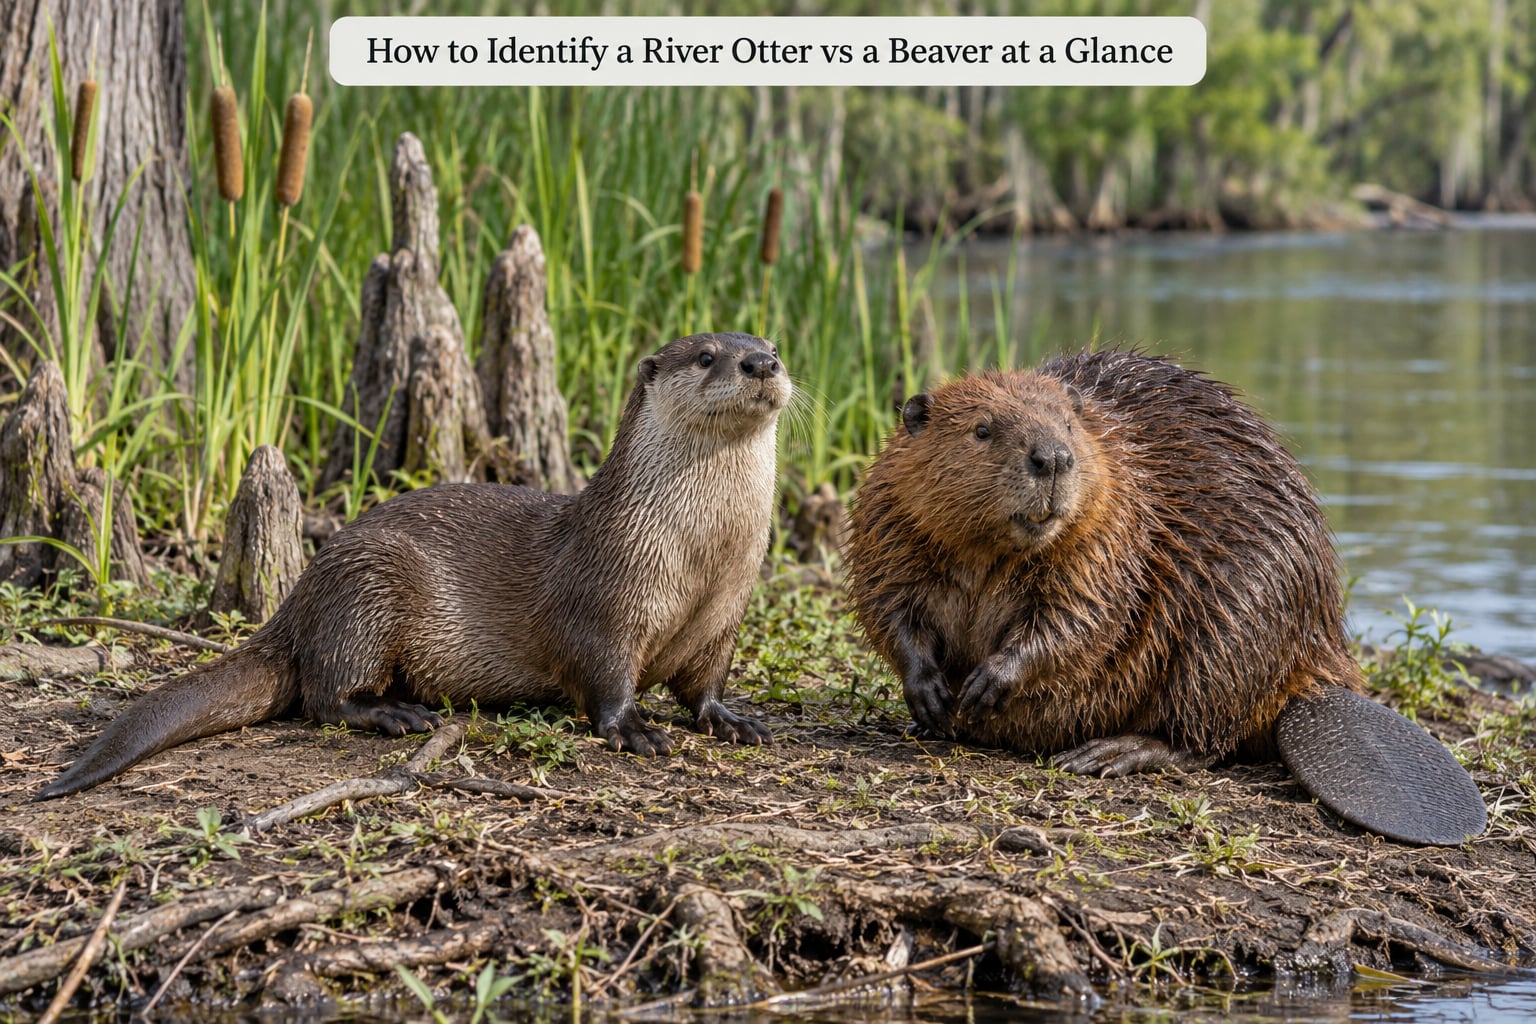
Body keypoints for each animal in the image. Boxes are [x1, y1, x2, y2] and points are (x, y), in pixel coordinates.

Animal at [39, 332, 789, 799]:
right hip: (367, 588)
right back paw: (395, 714)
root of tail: (300, 597)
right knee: (325, 694)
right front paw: (634, 728)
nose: (761, 364)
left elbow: (706, 682)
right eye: (707, 356)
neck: (700, 558)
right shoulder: (604, 599)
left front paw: (732, 719)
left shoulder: (727, 614)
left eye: (772, 347)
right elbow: (603, 676)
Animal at [844, 350, 1486, 846]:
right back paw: (922, 727)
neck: (994, 553)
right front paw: (929, 695)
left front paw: (986, 683)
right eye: (982, 429)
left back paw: (1110, 753)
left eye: (1071, 426)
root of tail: (1316, 686)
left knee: (1204, 737)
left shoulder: (1114, 533)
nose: (1052, 458)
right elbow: (889, 606)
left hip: (1228, 635)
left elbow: (1083, 618)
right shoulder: (888, 518)